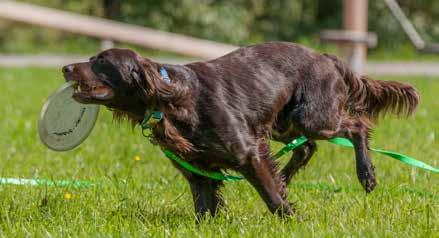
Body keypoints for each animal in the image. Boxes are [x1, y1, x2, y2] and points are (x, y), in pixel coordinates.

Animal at [62, 42, 420, 218]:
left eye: (102, 62)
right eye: (91, 59)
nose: (65, 67)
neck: (172, 100)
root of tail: (326, 57)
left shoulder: (247, 151)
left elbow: (271, 197)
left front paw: (291, 219)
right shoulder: (198, 170)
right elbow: (204, 206)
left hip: (312, 116)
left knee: (357, 126)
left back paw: (367, 176)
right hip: (281, 122)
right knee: (306, 147)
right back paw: (286, 178)